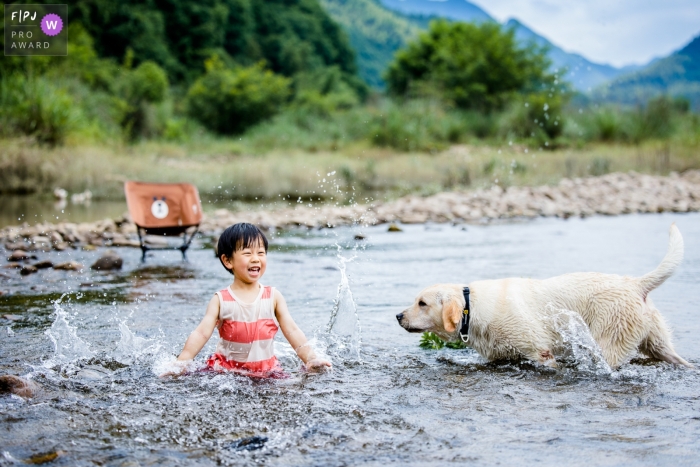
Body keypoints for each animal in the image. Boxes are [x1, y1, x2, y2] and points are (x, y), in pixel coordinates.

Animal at [396, 225, 692, 372]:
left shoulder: (540, 352)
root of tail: (634, 283)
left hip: (608, 343)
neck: (474, 309)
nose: (398, 316)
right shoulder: (499, 355)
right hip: (657, 341)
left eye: (422, 303)